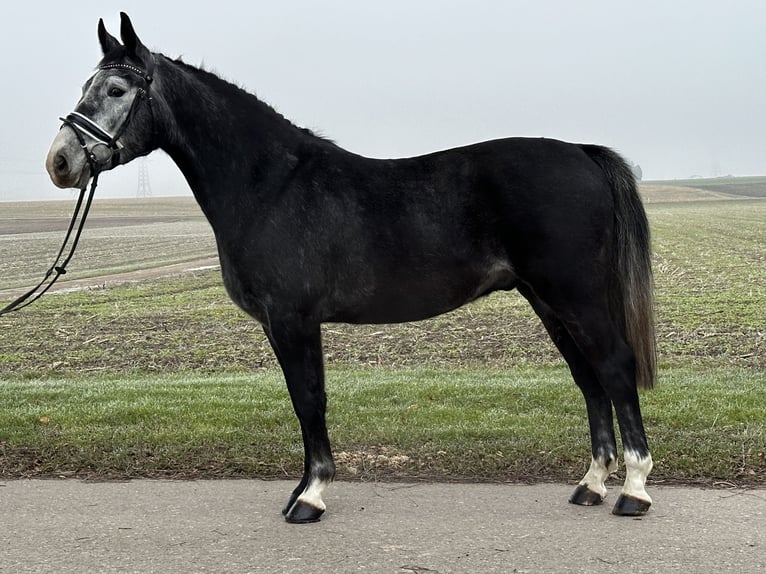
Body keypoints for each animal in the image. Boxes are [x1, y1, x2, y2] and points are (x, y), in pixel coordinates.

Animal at [46, 13, 660, 528]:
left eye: (117, 90)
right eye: (86, 86)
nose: (60, 162)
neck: (270, 185)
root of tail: (580, 152)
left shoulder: (293, 320)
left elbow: (309, 398)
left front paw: (312, 497)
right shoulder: (283, 324)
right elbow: (303, 401)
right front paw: (300, 491)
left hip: (576, 295)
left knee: (614, 366)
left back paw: (633, 490)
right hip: (547, 299)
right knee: (588, 378)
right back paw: (591, 485)